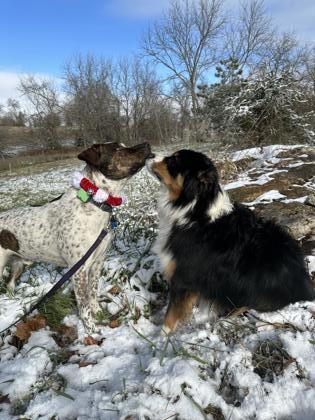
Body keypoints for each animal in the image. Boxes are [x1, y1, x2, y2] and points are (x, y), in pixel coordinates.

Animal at [147, 149, 314, 334]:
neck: (194, 209)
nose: (149, 154)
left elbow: (170, 316)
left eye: (174, 161)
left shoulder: (183, 278)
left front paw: (161, 338)